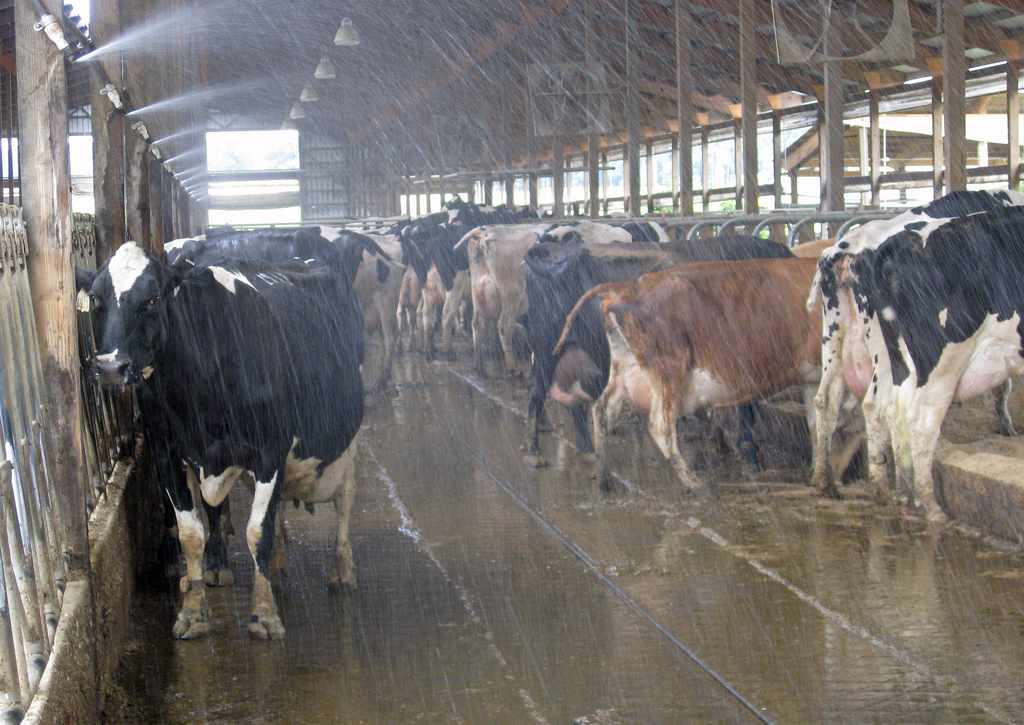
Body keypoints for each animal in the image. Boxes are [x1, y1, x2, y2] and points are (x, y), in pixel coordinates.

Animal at [76, 240, 364, 638]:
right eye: (97, 299)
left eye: (153, 297)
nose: (109, 367)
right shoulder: (166, 453)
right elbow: (191, 533)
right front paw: (193, 612)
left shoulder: (269, 452)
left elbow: (258, 531)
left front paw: (264, 614)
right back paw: (275, 565)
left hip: (348, 440)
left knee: (345, 500)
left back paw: (342, 569)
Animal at [524, 235, 794, 466]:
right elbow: (746, 409)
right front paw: (748, 453)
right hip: (548, 350)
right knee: (539, 395)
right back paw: (533, 452)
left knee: (573, 402)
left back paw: (586, 449)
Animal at [557, 256, 819, 493]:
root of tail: (629, 287)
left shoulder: (811, 378)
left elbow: (815, 422)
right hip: (669, 368)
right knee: (660, 425)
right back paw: (695, 483)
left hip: (626, 366)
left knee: (603, 410)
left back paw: (605, 477)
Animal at [806, 189, 1024, 501]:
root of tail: (843, 251)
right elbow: (1003, 387)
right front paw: (1006, 426)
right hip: (888, 354)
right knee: (879, 405)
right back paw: (885, 487)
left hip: (835, 338)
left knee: (827, 400)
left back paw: (826, 480)